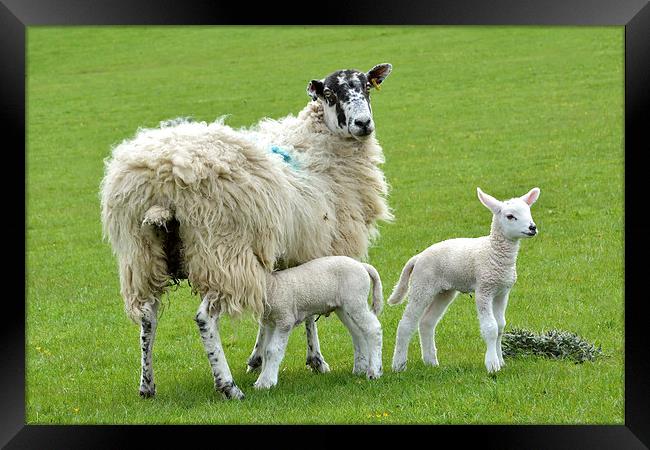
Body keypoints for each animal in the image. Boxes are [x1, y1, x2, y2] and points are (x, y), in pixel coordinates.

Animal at [252, 255, 384, 388]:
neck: (273, 286)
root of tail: (362, 265)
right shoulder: (270, 323)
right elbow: (265, 350)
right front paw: (264, 377)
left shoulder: (285, 319)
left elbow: (272, 350)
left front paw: (266, 382)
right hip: (344, 307)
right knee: (358, 332)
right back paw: (359, 369)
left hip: (356, 300)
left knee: (373, 328)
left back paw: (374, 371)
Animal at [388, 185, 540, 372]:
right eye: (510, 216)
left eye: (528, 211)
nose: (532, 227)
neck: (493, 252)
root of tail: (417, 258)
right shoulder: (484, 289)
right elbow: (490, 328)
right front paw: (492, 364)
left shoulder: (502, 292)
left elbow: (500, 326)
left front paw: (501, 361)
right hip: (422, 285)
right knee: (406, 324)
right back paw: (399, 365)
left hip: (444, 291)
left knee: (426, 322)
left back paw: (431, 362)